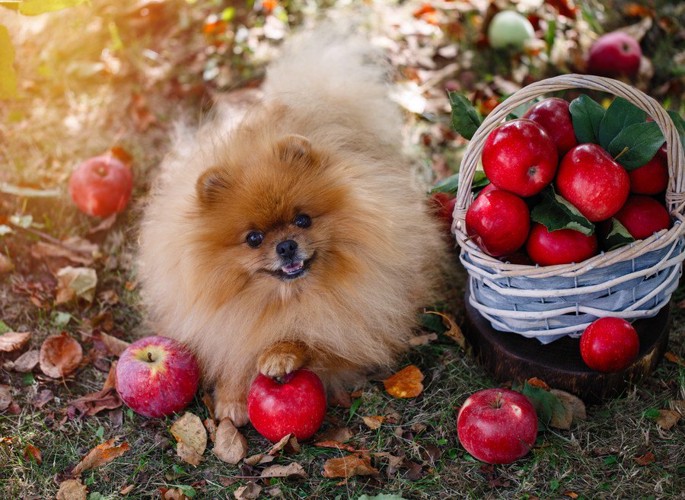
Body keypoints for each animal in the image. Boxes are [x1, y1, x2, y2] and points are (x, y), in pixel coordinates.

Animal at [140, 26, 448, 426]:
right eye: (253, 238)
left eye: (303, 220)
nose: (286, 245)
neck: (286, 299)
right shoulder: (221, 324)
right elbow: (234, 351)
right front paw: (232, 399)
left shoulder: (350, 325)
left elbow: (313, 340)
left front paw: (279, 354)